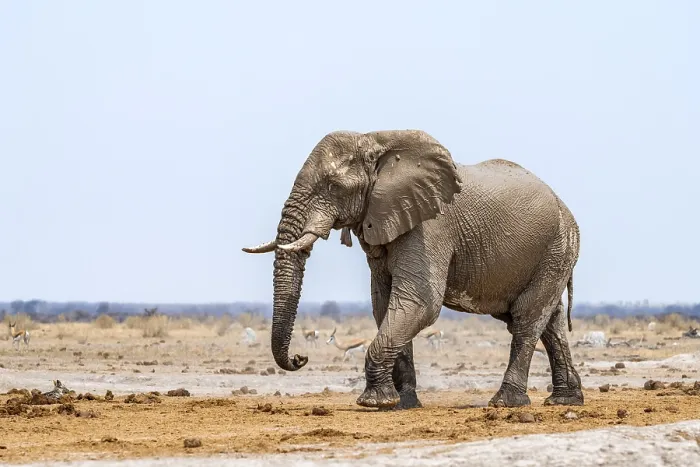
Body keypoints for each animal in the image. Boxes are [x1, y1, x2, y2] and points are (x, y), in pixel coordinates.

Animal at [243, 129, 582, 410]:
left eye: (333, 186)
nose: (300, 357)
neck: (377, 143)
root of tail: (567, 210)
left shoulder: (431, 227)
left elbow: (419, 302)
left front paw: (374, 402)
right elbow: (385, 304)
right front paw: (402, 403)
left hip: (557, 248)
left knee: (526, 320)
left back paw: (506, 403)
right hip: (552, 255)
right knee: (550, 323)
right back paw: (565, 400)